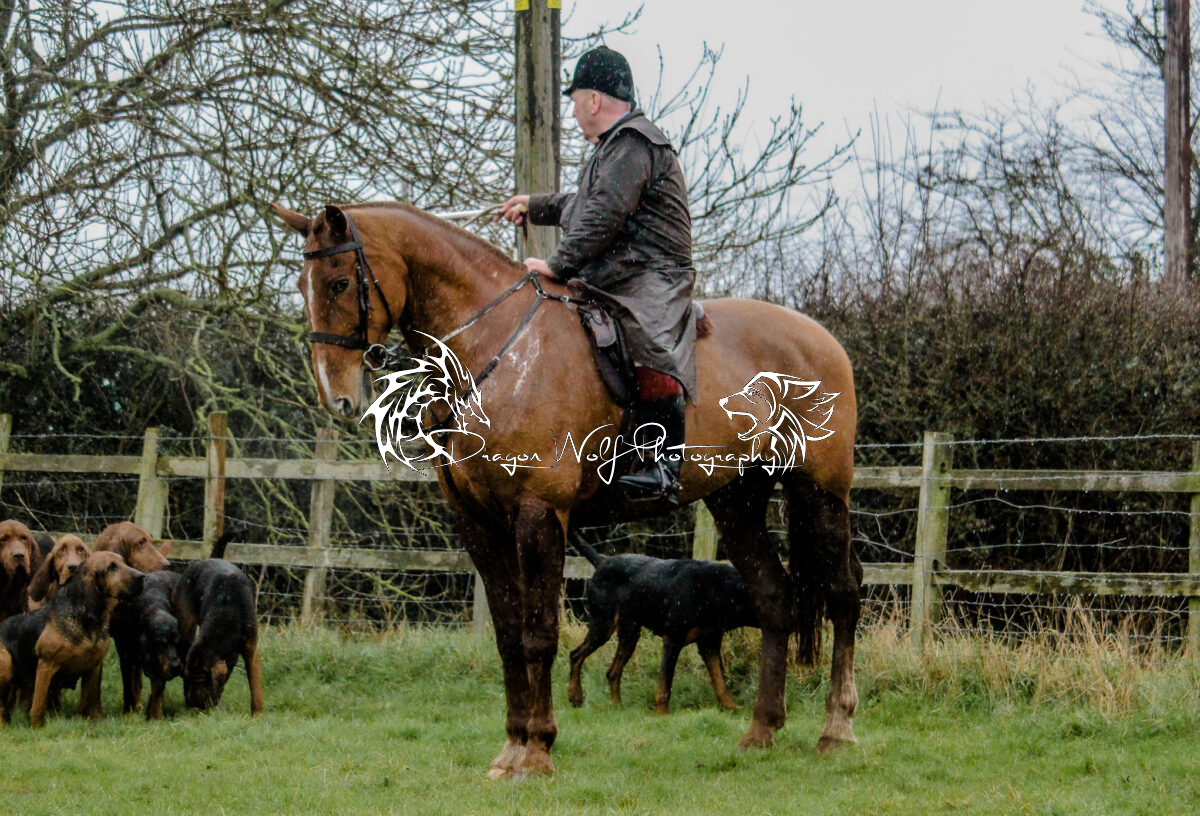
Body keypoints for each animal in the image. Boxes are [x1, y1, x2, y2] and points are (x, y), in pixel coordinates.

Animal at [0, 551, 144, 727]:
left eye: (124, 562)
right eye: (112, 567)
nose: (142, 576)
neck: (88, 621)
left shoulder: (94, 667)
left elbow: (89, 701)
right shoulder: (46, 665)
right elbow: (38, 706)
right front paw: (37, 728)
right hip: (6, 665)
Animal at [172, 558, 263, 714]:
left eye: (201, 679)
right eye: (191, 677)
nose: (192, 703)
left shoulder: (251, 650)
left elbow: (255, 686)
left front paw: (257, 714)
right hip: (186, 627)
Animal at [567, 535, 758, 714]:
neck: (718, 588)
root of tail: (602, 560)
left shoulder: (710, 644)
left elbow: (720, 682)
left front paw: (732, 707)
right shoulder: (673, 639)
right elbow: (665, 685)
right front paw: (662, 715)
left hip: (630, 634)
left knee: (612, 672)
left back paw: (616, 707)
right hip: (603, 626)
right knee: (575, 655)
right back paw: (575, 697)